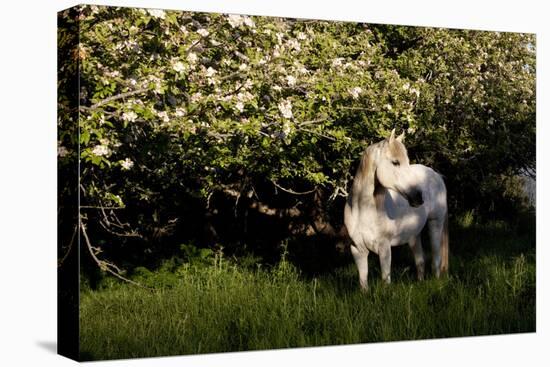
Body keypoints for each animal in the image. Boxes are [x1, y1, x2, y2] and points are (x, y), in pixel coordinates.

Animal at [348, 129, 450, 290]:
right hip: (414, 234)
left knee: (436, 258)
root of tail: (436, 174)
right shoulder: (357, 249)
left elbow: (385, 278)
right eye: (395, 162)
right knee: (420, 261)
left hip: (435, 223)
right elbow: (363, 280)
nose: (418, 197)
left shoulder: (384, 247)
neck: (363, 210)